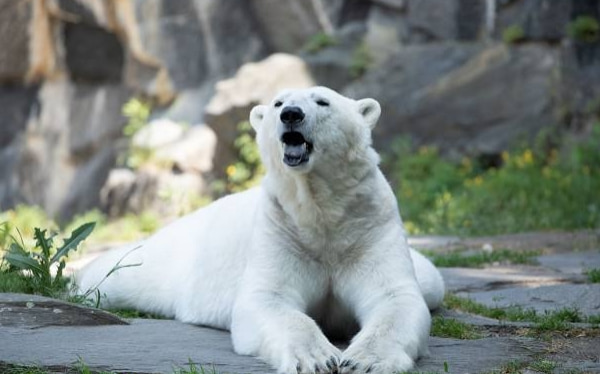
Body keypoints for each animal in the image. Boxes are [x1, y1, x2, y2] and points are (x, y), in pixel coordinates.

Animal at [76, 86, 446, 372]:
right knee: (118, 273)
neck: (321, 213)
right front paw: (316, 358)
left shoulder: (368, 227)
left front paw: (364, 361)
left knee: (431, 281)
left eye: (322, 101)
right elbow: (269, 298)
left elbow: (394, 297)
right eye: (278, 103)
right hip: (167, 259)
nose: (292, 114)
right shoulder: (280, 228)